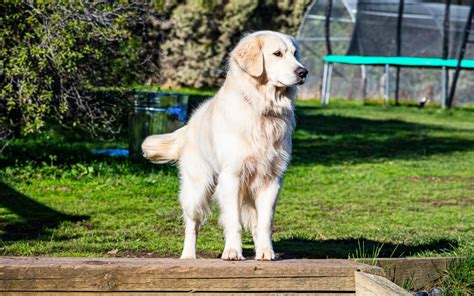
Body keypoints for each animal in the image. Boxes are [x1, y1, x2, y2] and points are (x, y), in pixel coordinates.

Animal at [142, 30, 308, 262]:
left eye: (295, 54)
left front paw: (266, 252)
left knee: (254, 223)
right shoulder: (232, 177)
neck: (261, 109)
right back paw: (188, 255)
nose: (303, 72)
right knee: (192, 224)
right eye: (277, 53)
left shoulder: (272, 180)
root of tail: (189, 125)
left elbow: (265, 223)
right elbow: (233, 222)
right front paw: (232, 251)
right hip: (196, 188)